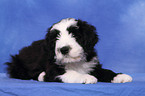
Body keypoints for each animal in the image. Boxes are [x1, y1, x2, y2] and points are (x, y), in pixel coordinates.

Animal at [5, 17, 133, 83]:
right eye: (56, 38)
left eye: (75, 35)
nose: (64, 49)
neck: (75, 62)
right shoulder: (53, 69)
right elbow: (71, 73)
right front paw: (85, 77)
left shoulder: (92, 65)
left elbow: (105, 71)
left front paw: (119, 76)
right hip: (16, 64)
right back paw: (41, 76)